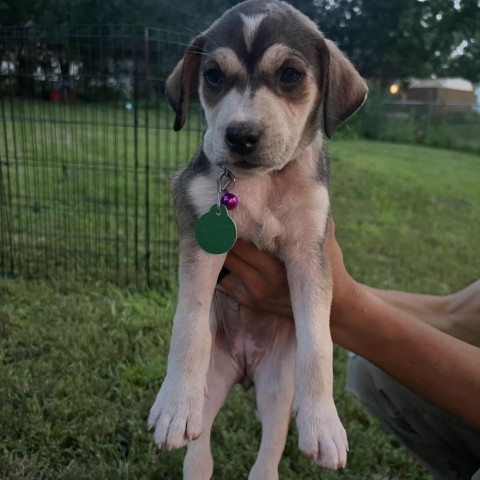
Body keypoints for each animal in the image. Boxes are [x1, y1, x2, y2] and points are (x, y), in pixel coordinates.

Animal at [149, 1, 368, 478]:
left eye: (290, 74)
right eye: (213, 76)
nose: (241, 135)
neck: (263, 184)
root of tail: (245, 370)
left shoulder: (309, 255)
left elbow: (318, 342)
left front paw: (325, 424)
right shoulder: (201, 246)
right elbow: (188, 323)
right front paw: (173, 405)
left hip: (277, 389)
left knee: (271, 444)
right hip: (214, 381)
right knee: (201, 439)